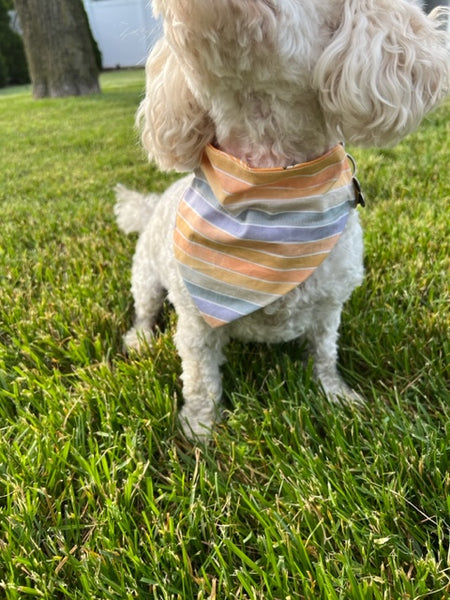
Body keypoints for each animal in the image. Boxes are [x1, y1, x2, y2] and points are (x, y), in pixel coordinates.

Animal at [114, 0, 448, 436]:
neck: (269, 189)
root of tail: (153, 205)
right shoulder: (195, 324)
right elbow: (201, 378)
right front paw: (200, 430)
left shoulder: (329, 307)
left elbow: (324, 351)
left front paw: (335, 395)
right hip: (146, 277)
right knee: (145, 310)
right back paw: (139, 339)